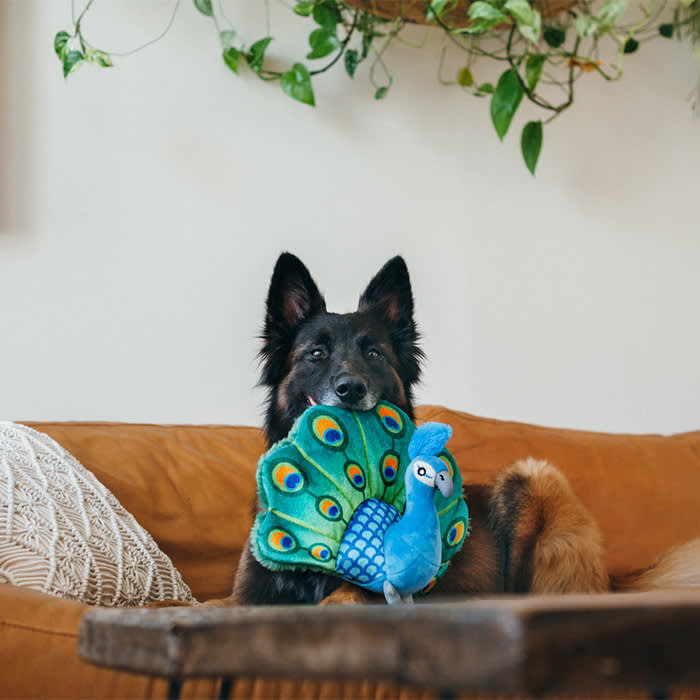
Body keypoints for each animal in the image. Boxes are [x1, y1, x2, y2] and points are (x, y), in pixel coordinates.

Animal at [234, 253, 700, 608]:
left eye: (374, 354)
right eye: (316, 354)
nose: (350, 389)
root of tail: (611, 580)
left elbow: (344, 596)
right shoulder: (248, 594)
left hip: (530, 477)